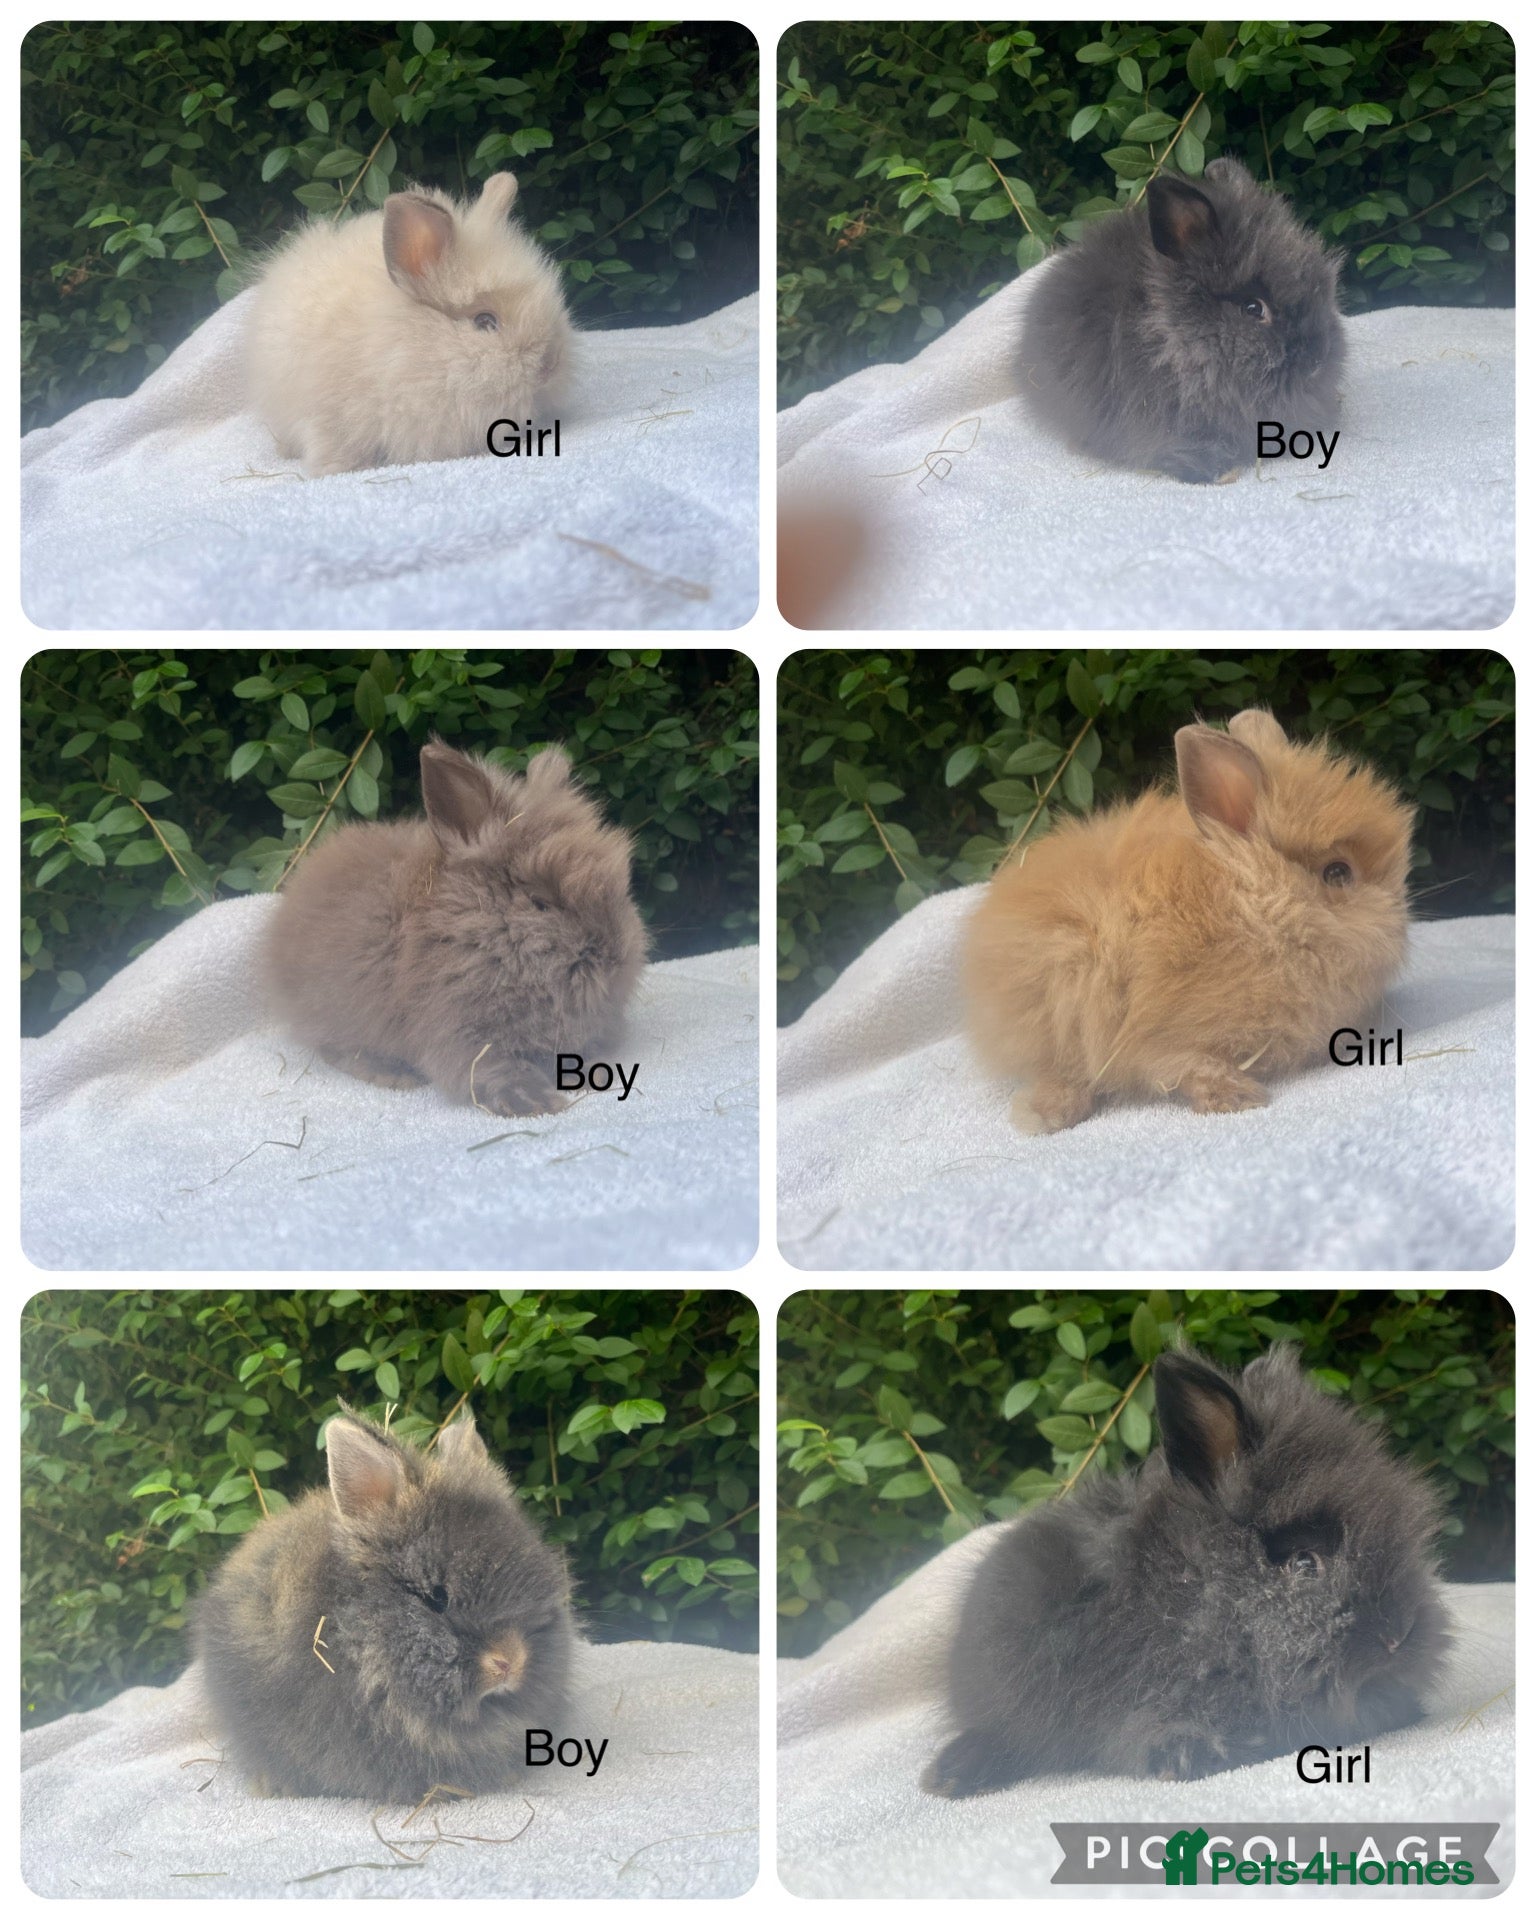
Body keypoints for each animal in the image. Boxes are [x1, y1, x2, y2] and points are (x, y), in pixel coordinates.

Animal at [264, 739, 649, 1118]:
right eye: (539, 902)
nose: (616, 958)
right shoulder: (457, 1029)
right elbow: (488, 1068)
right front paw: (535, 1101)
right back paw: (393, 1074)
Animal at [964, 708, 1413, 1133]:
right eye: (1338, 873)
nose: (1401, 924)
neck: (1254, 914)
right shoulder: (1153, 1035)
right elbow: (1181, 1065)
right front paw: (1239, 1096)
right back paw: (1044, 1116)